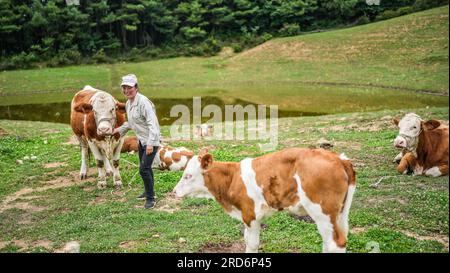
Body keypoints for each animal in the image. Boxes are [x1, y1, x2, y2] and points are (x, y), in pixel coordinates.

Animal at [174, 148, 356, 252]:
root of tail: (339, 158)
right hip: (338, 213)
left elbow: (252, 243)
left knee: (335, 243)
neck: (232, 178)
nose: (174, 191)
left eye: (188, 175)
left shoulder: (250, 214)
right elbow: (247, 240)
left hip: (322, 210)